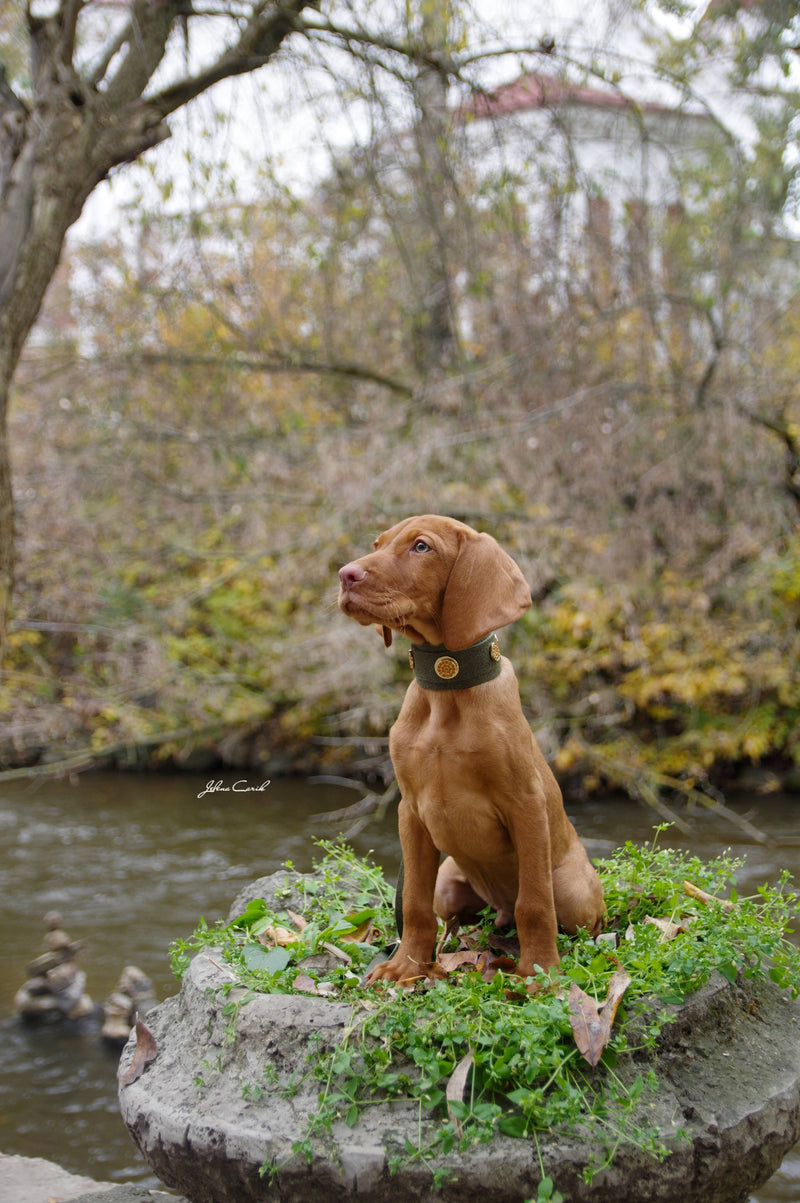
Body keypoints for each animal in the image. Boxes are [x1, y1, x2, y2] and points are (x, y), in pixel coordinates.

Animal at [334, 514, 601, 986]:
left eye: (421, 547)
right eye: (378, 545)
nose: (345, 575)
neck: (447, 687)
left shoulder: (526, 804)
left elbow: (535, 903)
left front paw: (540, 972)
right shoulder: (410, 812)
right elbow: (413, 902)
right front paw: (408, 964)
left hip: (575, 893)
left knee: (559, 913)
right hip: (449, 882)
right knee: (456, 914)